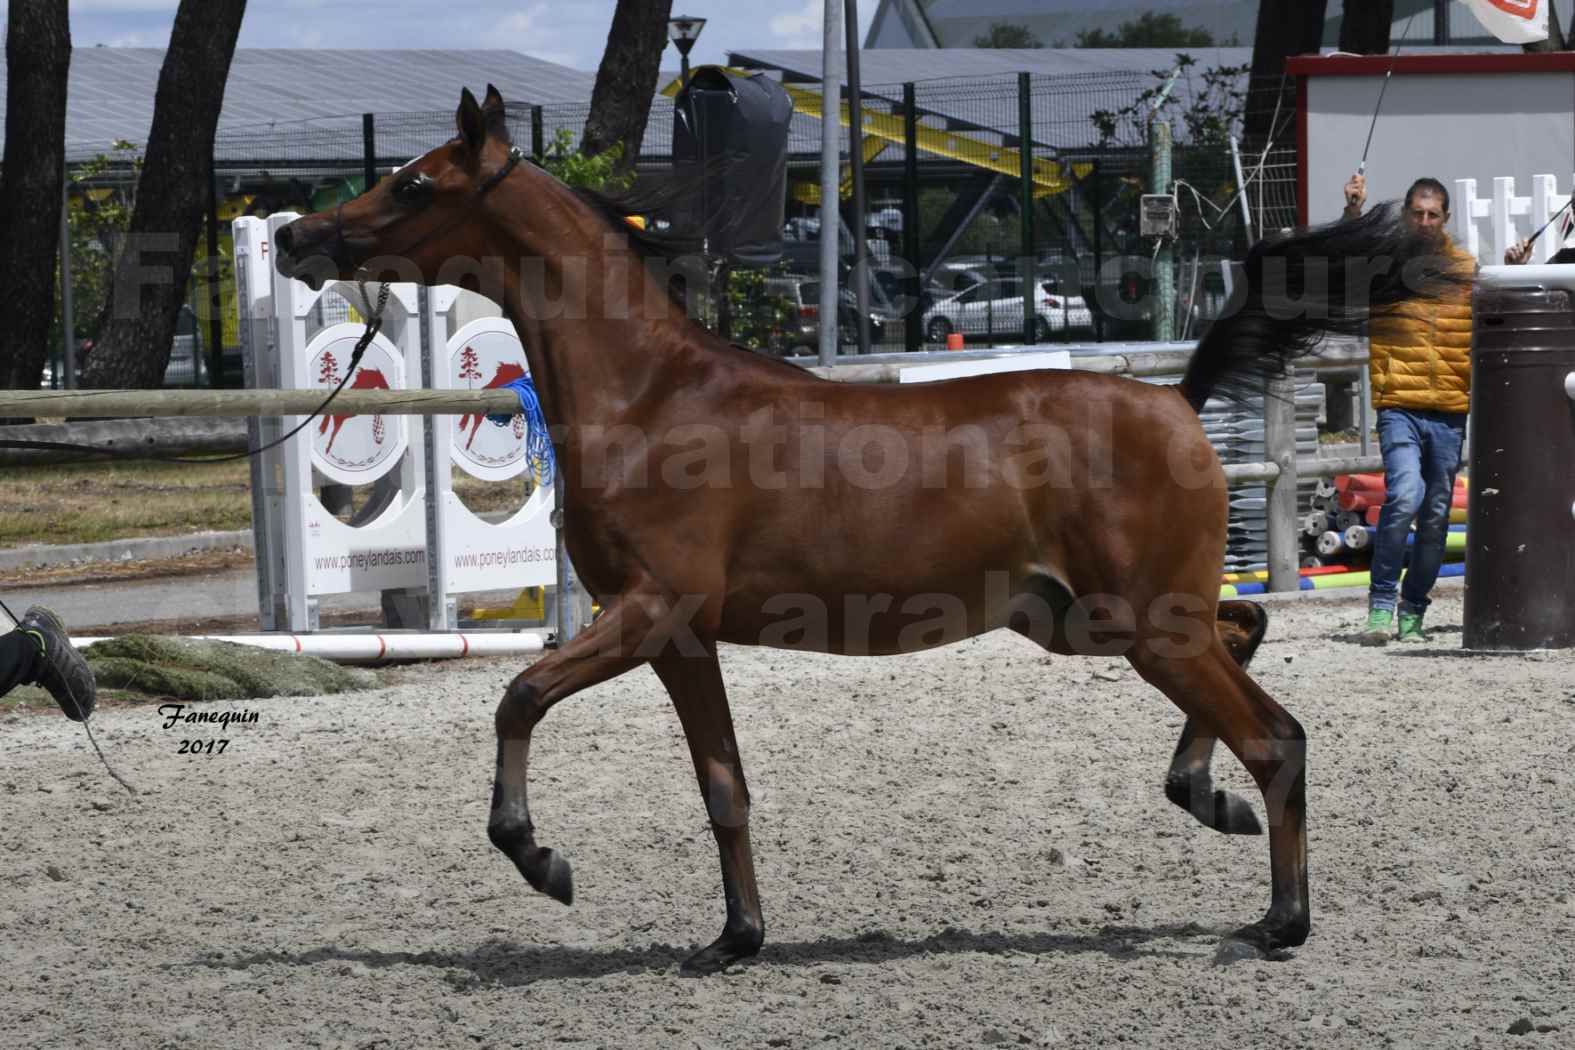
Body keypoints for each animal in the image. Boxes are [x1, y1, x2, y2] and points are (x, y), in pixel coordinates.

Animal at [277, 86, 1455, 976]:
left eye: (416, 182)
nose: (295, 235)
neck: (651, 397)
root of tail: (1176, 401)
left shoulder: (647, 611)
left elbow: (518, 696)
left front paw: (541, 860)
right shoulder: (681, 637)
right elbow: (724, 787)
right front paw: (735, 940)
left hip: (1142, 624)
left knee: (1275, 732)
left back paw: (1279, 918)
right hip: (1085, 619)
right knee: (1246, 637)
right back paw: (1207, 801)